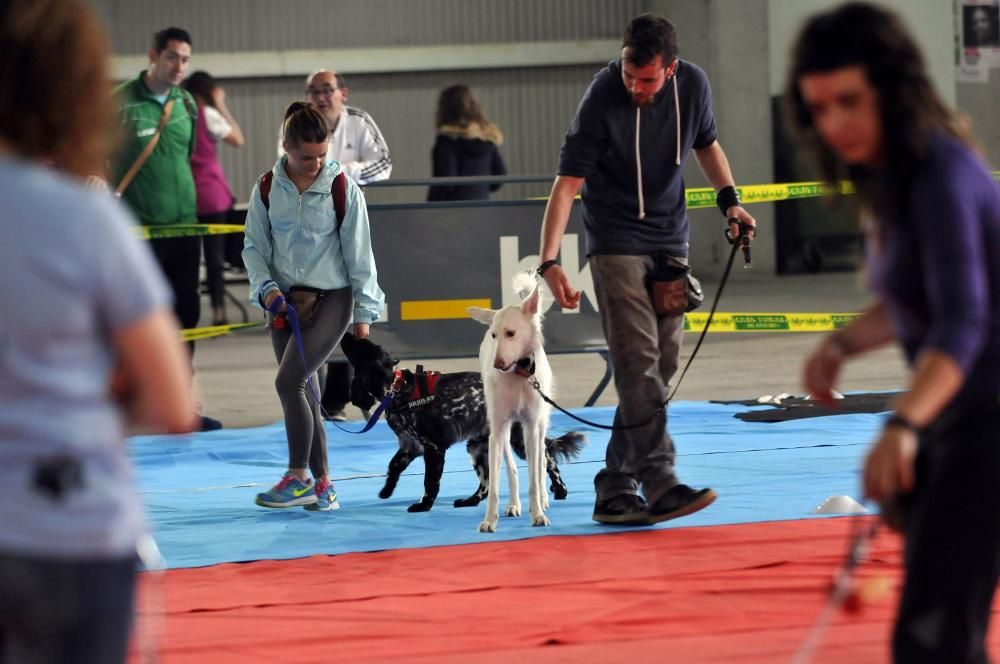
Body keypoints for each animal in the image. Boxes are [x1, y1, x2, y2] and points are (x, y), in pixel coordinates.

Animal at [342, 332, 584, 512]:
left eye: (359, 346)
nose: (347, 334)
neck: (397, 389)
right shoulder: (411, 445)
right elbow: (393, 465)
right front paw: (387, 490)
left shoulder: (433, 447)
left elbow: (430, 482)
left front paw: (423, 505)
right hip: (477, 447)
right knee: (486, 484)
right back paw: (470, 500)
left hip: (517, 441)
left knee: (547, 458)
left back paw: (560, 489)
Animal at [468, 276, 556, 536]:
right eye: (494, 335)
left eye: (511, 333)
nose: (497, 364)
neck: (519, 374)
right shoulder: (497, 431)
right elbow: (496, 485)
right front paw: (490, 520)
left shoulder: (531, 427)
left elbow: (534, 478)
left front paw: (538, 514)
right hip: (506, 433)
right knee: (512, 469)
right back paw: (514, 504)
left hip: (540, 425)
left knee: (541, 463)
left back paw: (543, 500)